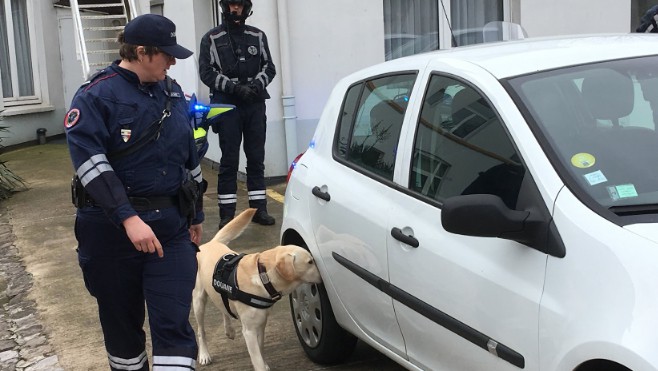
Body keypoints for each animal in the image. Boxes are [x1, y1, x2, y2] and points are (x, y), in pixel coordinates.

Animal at [191, 209, 322, 371]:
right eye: (310, 262)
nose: (323, 275)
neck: (263, 276)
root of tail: (211, 242)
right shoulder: (249, 331)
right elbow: (257, 359)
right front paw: (262, 365)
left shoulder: (261, 325)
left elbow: (261, 350)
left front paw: (265, 363)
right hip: (198, 300)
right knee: (201, 330)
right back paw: (204, 354)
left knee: (224, 307)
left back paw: (229, 330)